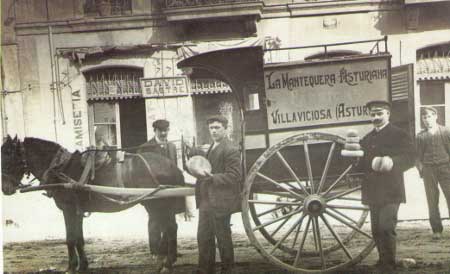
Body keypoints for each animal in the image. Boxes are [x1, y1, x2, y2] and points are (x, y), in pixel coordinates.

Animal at [0, 136, 185, 272]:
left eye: (8, 155)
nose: (5, 188)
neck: (60, 169)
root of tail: (171, 165)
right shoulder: (78, 211)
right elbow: (79, 238)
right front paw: (83, 265)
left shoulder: (69, 209)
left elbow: (70, 238)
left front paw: (71, 267)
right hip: (160, 205)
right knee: (170, 227)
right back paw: (168, 260)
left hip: (157, 205)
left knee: (169, 228)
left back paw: (165, 263)